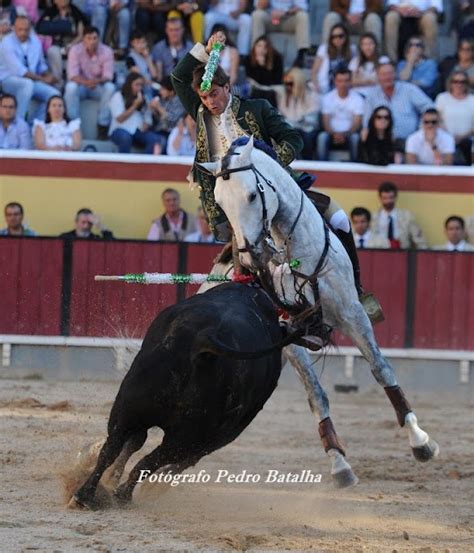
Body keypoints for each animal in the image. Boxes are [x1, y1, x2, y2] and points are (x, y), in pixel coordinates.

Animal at [68, 282, 286, 506]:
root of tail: (204, 339)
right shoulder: (220, 435)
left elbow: (134, 444)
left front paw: (113, 478)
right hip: (188, 436)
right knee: (151, 459)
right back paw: (121, 494)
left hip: (130, 406)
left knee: (115, 446)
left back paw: (86, 495)